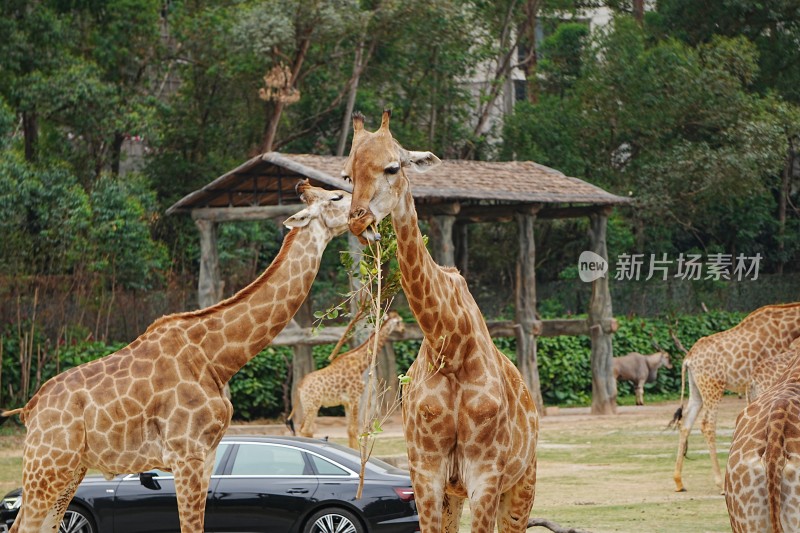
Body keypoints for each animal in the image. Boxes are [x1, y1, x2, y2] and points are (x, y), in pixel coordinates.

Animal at [0, 183, 352, 532]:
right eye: (336, 196)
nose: (361, 211)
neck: (216, 359)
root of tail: (29, 410)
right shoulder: (187, 454)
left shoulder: (207, 456)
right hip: (47, 466)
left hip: (71, 469)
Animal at [288, 310, 406, 446]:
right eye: (400, 321)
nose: (403, 330)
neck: (360, 364)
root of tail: (300, 387)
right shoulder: (355, 398)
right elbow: (354, 430)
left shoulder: (346, 402)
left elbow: (349, 430)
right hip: (312, 405)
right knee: (305, 430)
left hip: (307, 406)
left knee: (305, 430)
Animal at [342, 110, 536, 528]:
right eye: (347, 175)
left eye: (392, 167)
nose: (358, 221)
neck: (451, 347)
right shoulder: (426, 471)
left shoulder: (486, 472)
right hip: (454, 495)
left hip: (521, 484)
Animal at [668, 302, 800, 492]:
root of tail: (688, 359)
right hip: (713, 386)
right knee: (707, 424)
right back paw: (719, 481)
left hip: (696, 389)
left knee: (686, 423)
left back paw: (679, 481)